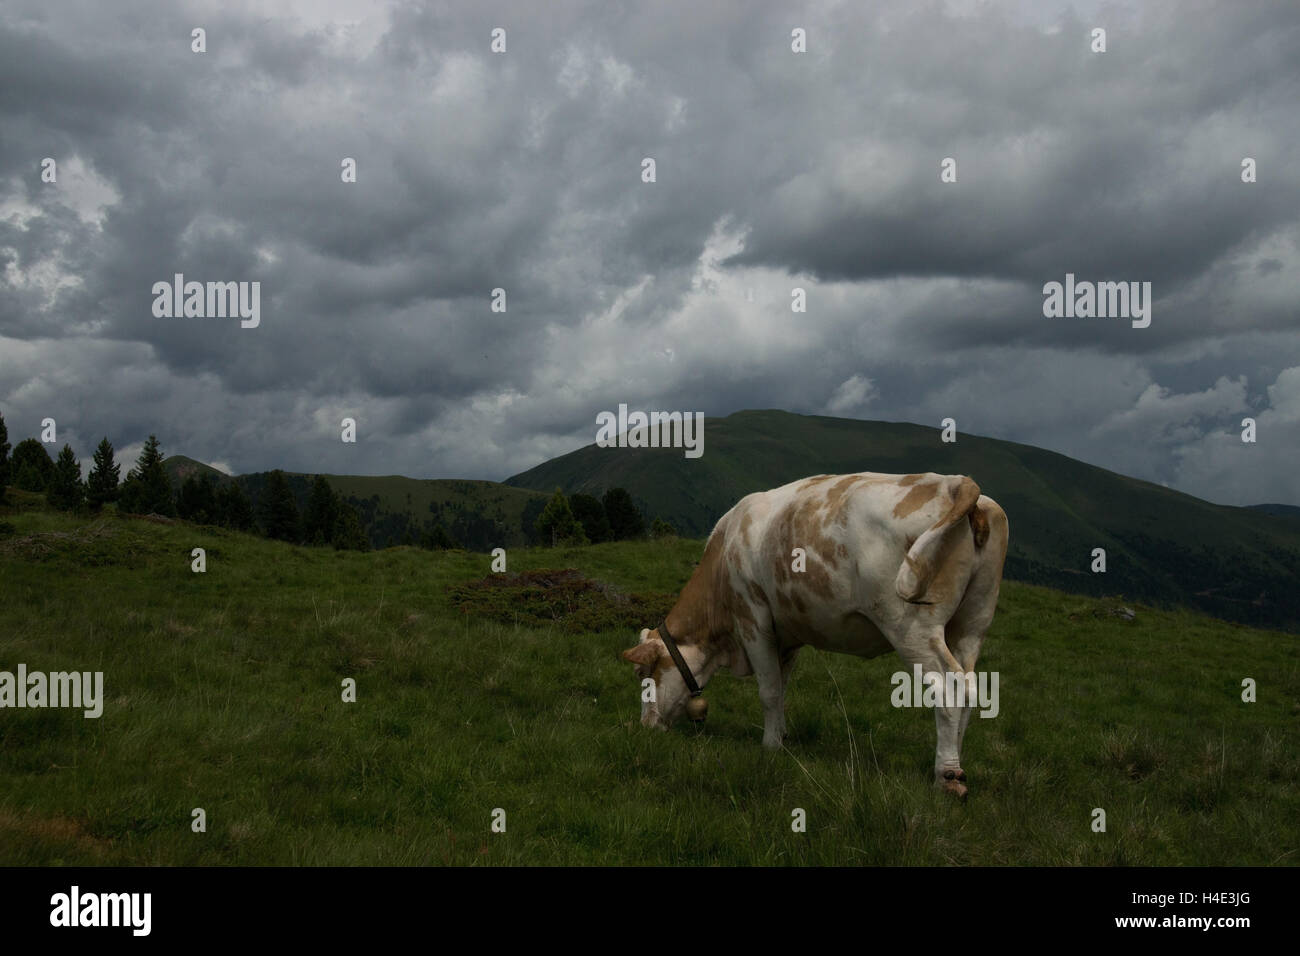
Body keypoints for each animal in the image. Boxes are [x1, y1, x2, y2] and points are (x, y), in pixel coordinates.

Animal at [624, 473, 1008, 801]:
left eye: (644, 674)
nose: (645, 727)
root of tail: (955, 483)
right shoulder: (787, 634)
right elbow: (781, 687)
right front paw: (781, 736)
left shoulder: (752, 617)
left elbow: (768, 691)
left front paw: (769, 746)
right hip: (972, 624)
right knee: (970, 686)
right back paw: (957, 761)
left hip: (909, 623)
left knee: (949, 686)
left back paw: (947, 775)